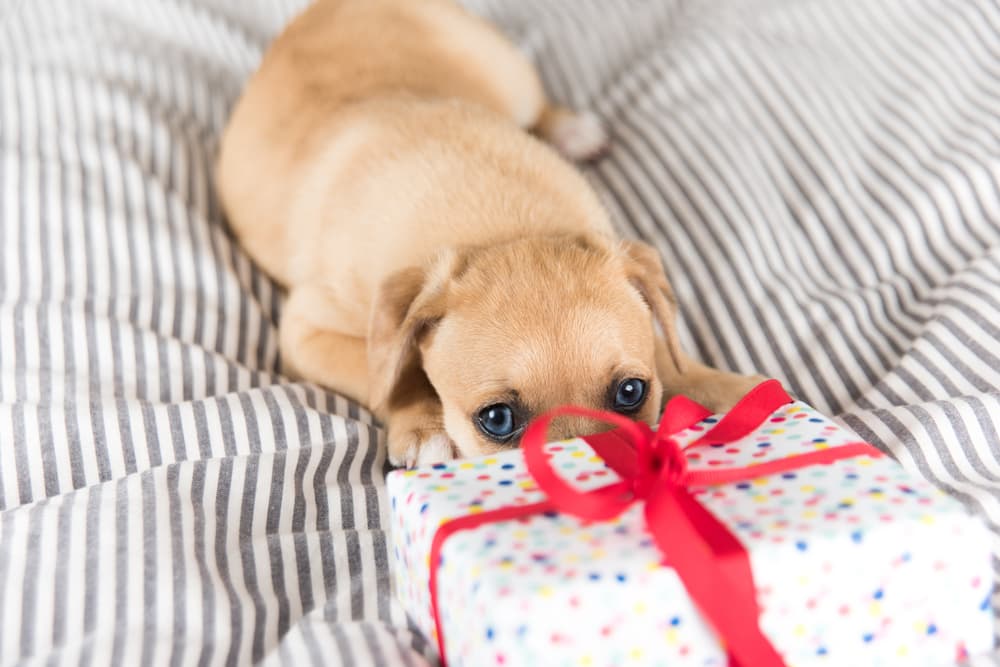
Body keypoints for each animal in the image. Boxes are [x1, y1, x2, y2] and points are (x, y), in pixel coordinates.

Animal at [221, 0, 764, 468]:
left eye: (631, 393)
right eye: (497, 420)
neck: (497, 231)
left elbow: (668, 354)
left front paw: (730, 389)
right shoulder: (308, 330)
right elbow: (395, 377)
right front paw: (424, 428)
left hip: (507, 70)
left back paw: (574, 131)